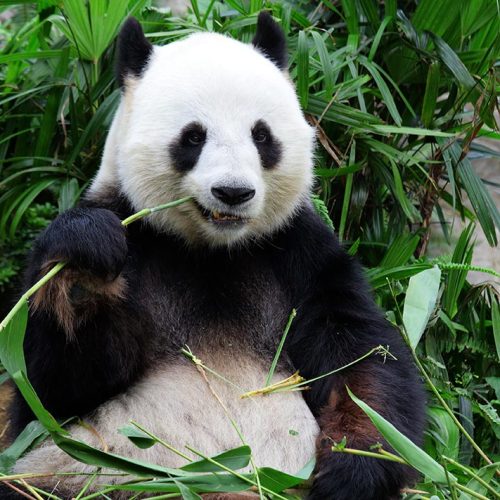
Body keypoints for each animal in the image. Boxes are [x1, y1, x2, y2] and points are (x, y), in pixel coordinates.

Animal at [5, 11, 424, 500]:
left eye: (261, 135)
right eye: (193, 137)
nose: (233, 192)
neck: (212, 251)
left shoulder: (300, 253)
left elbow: (361, 359)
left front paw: (351, 468)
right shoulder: (135, 231)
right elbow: (50, 391)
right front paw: (84, 267)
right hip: (82, 476)